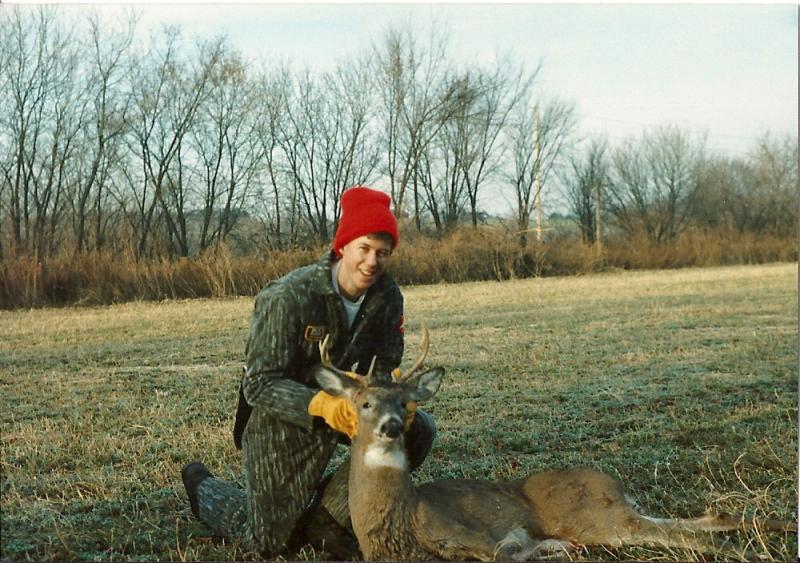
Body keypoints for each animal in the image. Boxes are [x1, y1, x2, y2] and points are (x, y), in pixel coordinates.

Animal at [310, 328, 792, 560]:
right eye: (365, 402)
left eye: (406, 403)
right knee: (701, 519)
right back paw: (777, 529)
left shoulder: (474, 535)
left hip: (592, 517)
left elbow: (504, 555)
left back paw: (751, 551)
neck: (400, 519)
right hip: (613, 513)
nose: (392, 426)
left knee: (675, 533)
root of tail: (616, 485)